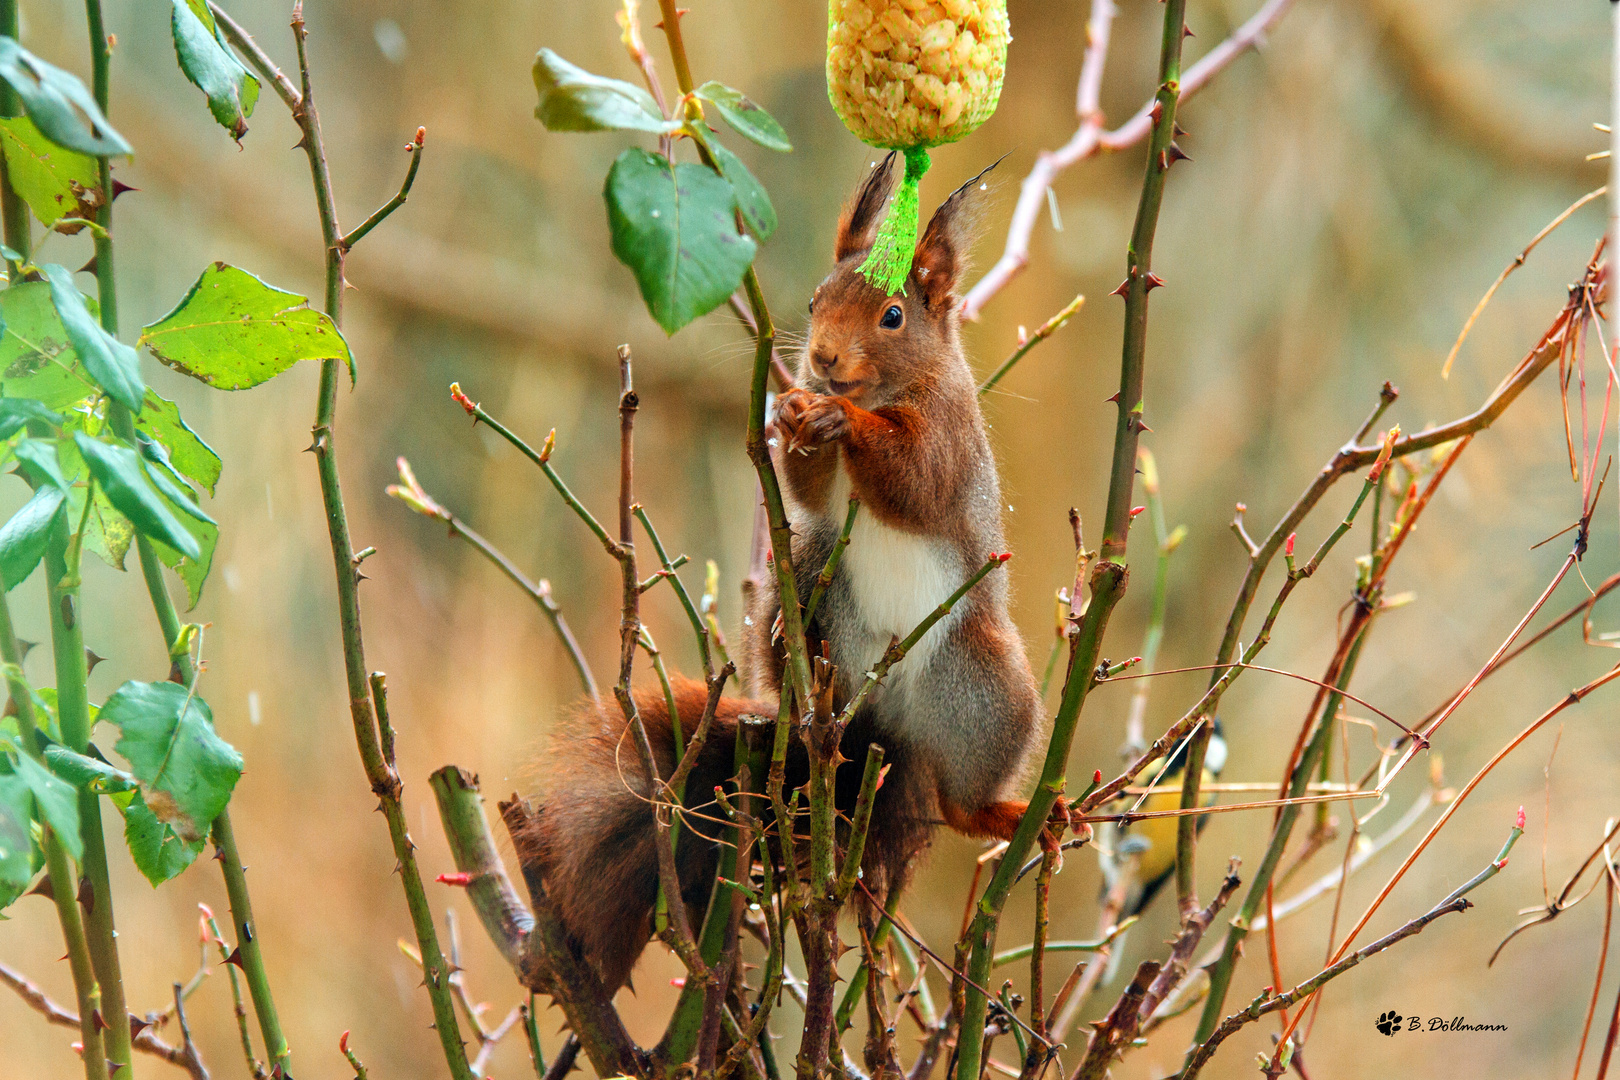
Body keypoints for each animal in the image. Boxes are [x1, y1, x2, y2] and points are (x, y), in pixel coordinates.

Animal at [518, 153, 1049, 997]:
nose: (823, 361)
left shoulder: (948, 440)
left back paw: (1006, 813)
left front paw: (840, 421)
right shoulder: (815, 503)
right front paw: (795, 415)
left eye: (893, 316)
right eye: (812, 301)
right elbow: (805, 492)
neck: (882, 390)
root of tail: (879, 723)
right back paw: (795, 692)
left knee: (964, 802)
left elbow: (912, 478)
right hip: (803, 579)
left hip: (984, 689)